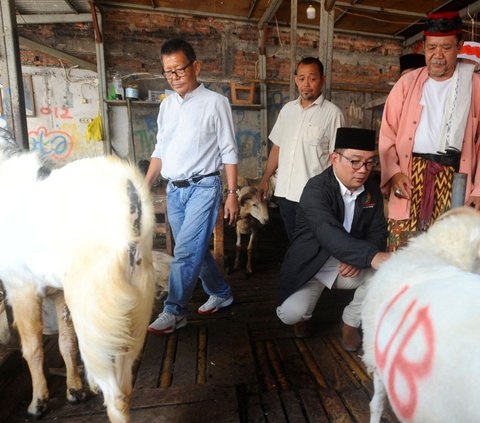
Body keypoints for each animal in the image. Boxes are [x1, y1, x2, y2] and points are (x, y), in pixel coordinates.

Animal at [0, 130, 154, 423]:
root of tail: (129, 191)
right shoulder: (59, 292)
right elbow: (65, 342)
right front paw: (74, 390)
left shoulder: (20, 287)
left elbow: (32, 348)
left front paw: (37, 403)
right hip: (134, 305)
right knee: (126, 384)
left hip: (93, 309)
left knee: (116, 394)